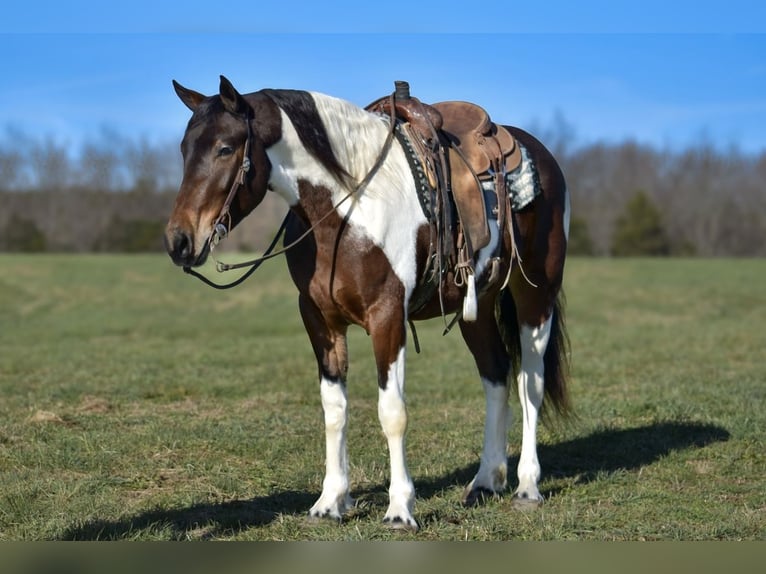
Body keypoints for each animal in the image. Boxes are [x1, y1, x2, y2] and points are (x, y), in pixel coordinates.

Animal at [165, 75, 572, 532]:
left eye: (225, 148)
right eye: (184, 148)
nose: (179, 241)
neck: (348, 209)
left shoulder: (387, 316)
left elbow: (392, 412)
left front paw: (399, 509)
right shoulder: (319, 320)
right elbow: (334, 409)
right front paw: (330, 502)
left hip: (536, 295)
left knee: (530, 382)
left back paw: (527, 487)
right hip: (477, 307)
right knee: (496, 376)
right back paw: (486, 481)